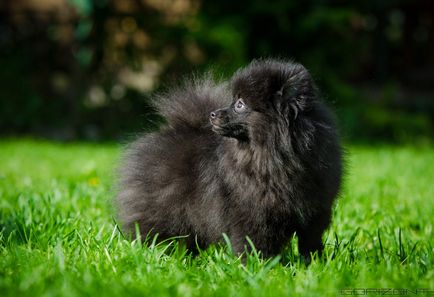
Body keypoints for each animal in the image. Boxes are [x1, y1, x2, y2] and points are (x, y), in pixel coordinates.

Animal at [118, 59, 342, 256]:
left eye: (240, 104)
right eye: (233, 101)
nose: (212, 114)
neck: (273, 157)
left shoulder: (316, 211)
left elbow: (310, 242)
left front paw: (314, 262)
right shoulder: (251, 213)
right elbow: (252, 243)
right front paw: (257, 266)